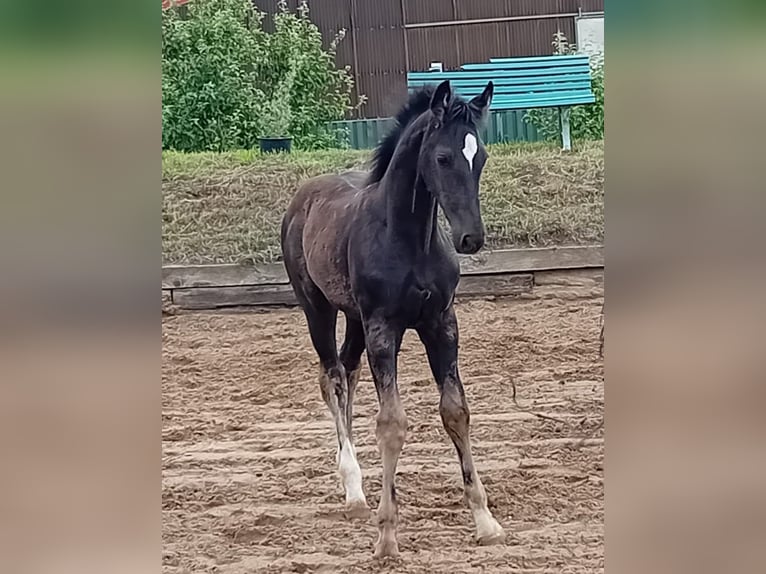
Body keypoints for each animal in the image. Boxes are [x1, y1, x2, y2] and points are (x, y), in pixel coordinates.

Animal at [280, 79, 505, 558]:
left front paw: (485, 521)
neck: (410, 239)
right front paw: (386, 535)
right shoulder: (384, 328)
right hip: (318, 309)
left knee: (348, 371)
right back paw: (353, 490)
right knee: (332, 377)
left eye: (480, 157)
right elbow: (392, 424)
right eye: (442, 157)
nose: (471, 238)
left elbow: (456, 412)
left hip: (355, 318)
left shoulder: (441, 324)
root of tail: (304, 195)